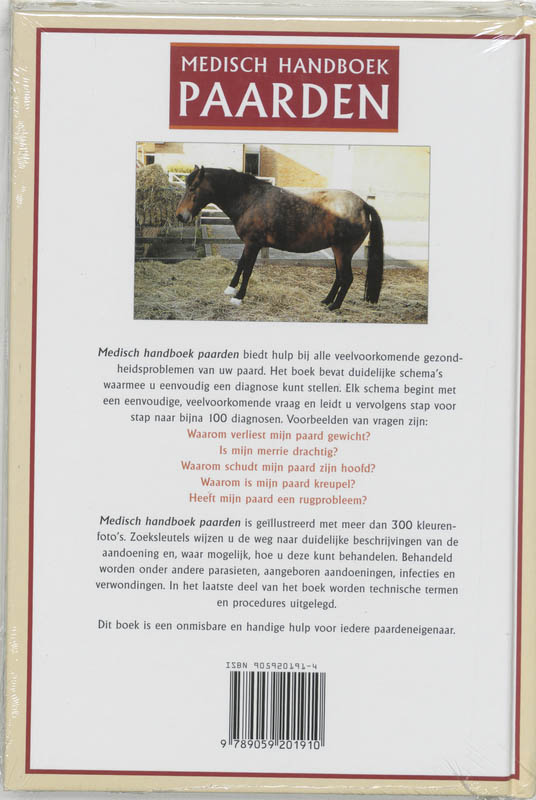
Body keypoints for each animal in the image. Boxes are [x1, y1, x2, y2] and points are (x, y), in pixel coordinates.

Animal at [176, 166, 384, 311]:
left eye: (193, 187)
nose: (180, 216)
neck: (250, 199)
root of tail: (364, 205)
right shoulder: (248, 244)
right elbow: (241, 264)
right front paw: (231, 288)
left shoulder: (253, 244)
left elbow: (248, 270)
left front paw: (238, 297)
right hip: (337, 251)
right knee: (340, 277)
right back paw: (326, 301)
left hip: (343, 251)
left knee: (346, 278)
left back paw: (334, 306)